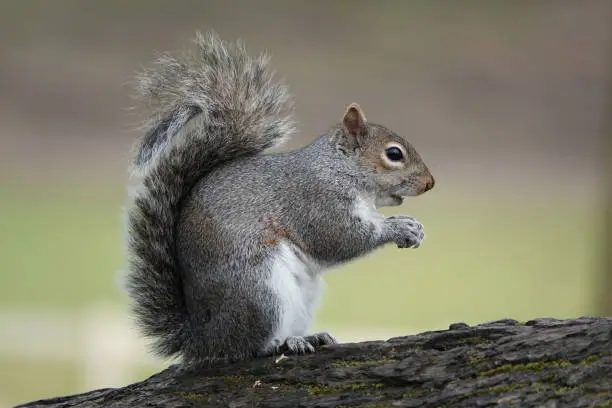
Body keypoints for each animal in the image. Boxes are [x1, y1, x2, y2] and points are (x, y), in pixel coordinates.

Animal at [124, 30, 432, 364]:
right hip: (259, 289)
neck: (339, 170)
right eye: (394, 154)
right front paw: (397, 227)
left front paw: (412, 226)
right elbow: (340, 239)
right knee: (246, 347)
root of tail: (205, 339)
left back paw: (308, 337)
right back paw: (280, 344)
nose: (430, 183)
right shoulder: (317, 201)